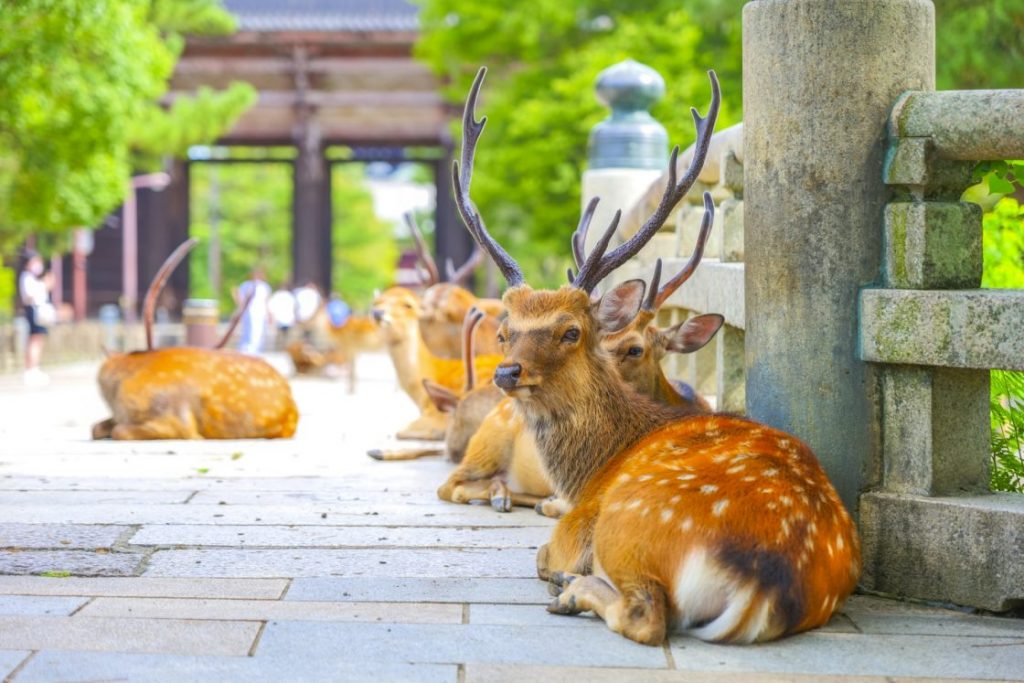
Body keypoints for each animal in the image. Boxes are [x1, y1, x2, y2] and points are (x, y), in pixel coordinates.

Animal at [452, 68, 860, 647]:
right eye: (505, 331)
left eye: (571, 330)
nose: (508, 372)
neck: (591, 468)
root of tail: (765, 579)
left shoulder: (575, 523)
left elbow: (541, 555)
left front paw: (561, 576)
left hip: (627, 522)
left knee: (645, 616)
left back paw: (573, 592)